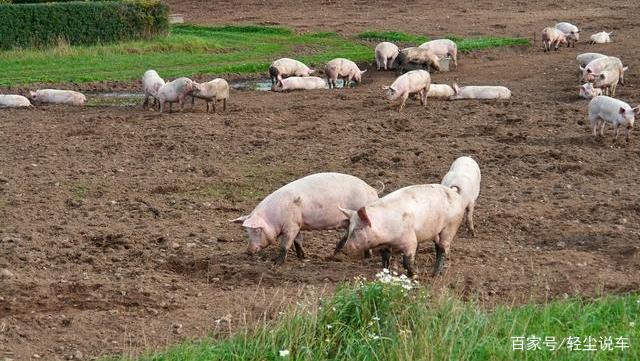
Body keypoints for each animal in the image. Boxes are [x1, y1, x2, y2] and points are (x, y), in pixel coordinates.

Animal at [230, 172, 380, 264]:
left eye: (256, 230)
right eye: (247, 231)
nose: (248, 251)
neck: (274, 216)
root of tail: (372, 190)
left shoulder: (291, 226)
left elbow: (285, 244)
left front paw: (276, 263)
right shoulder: (298, 224)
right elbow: (298, 241)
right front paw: (302, 257)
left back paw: (366, 259)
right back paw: (335, 254)